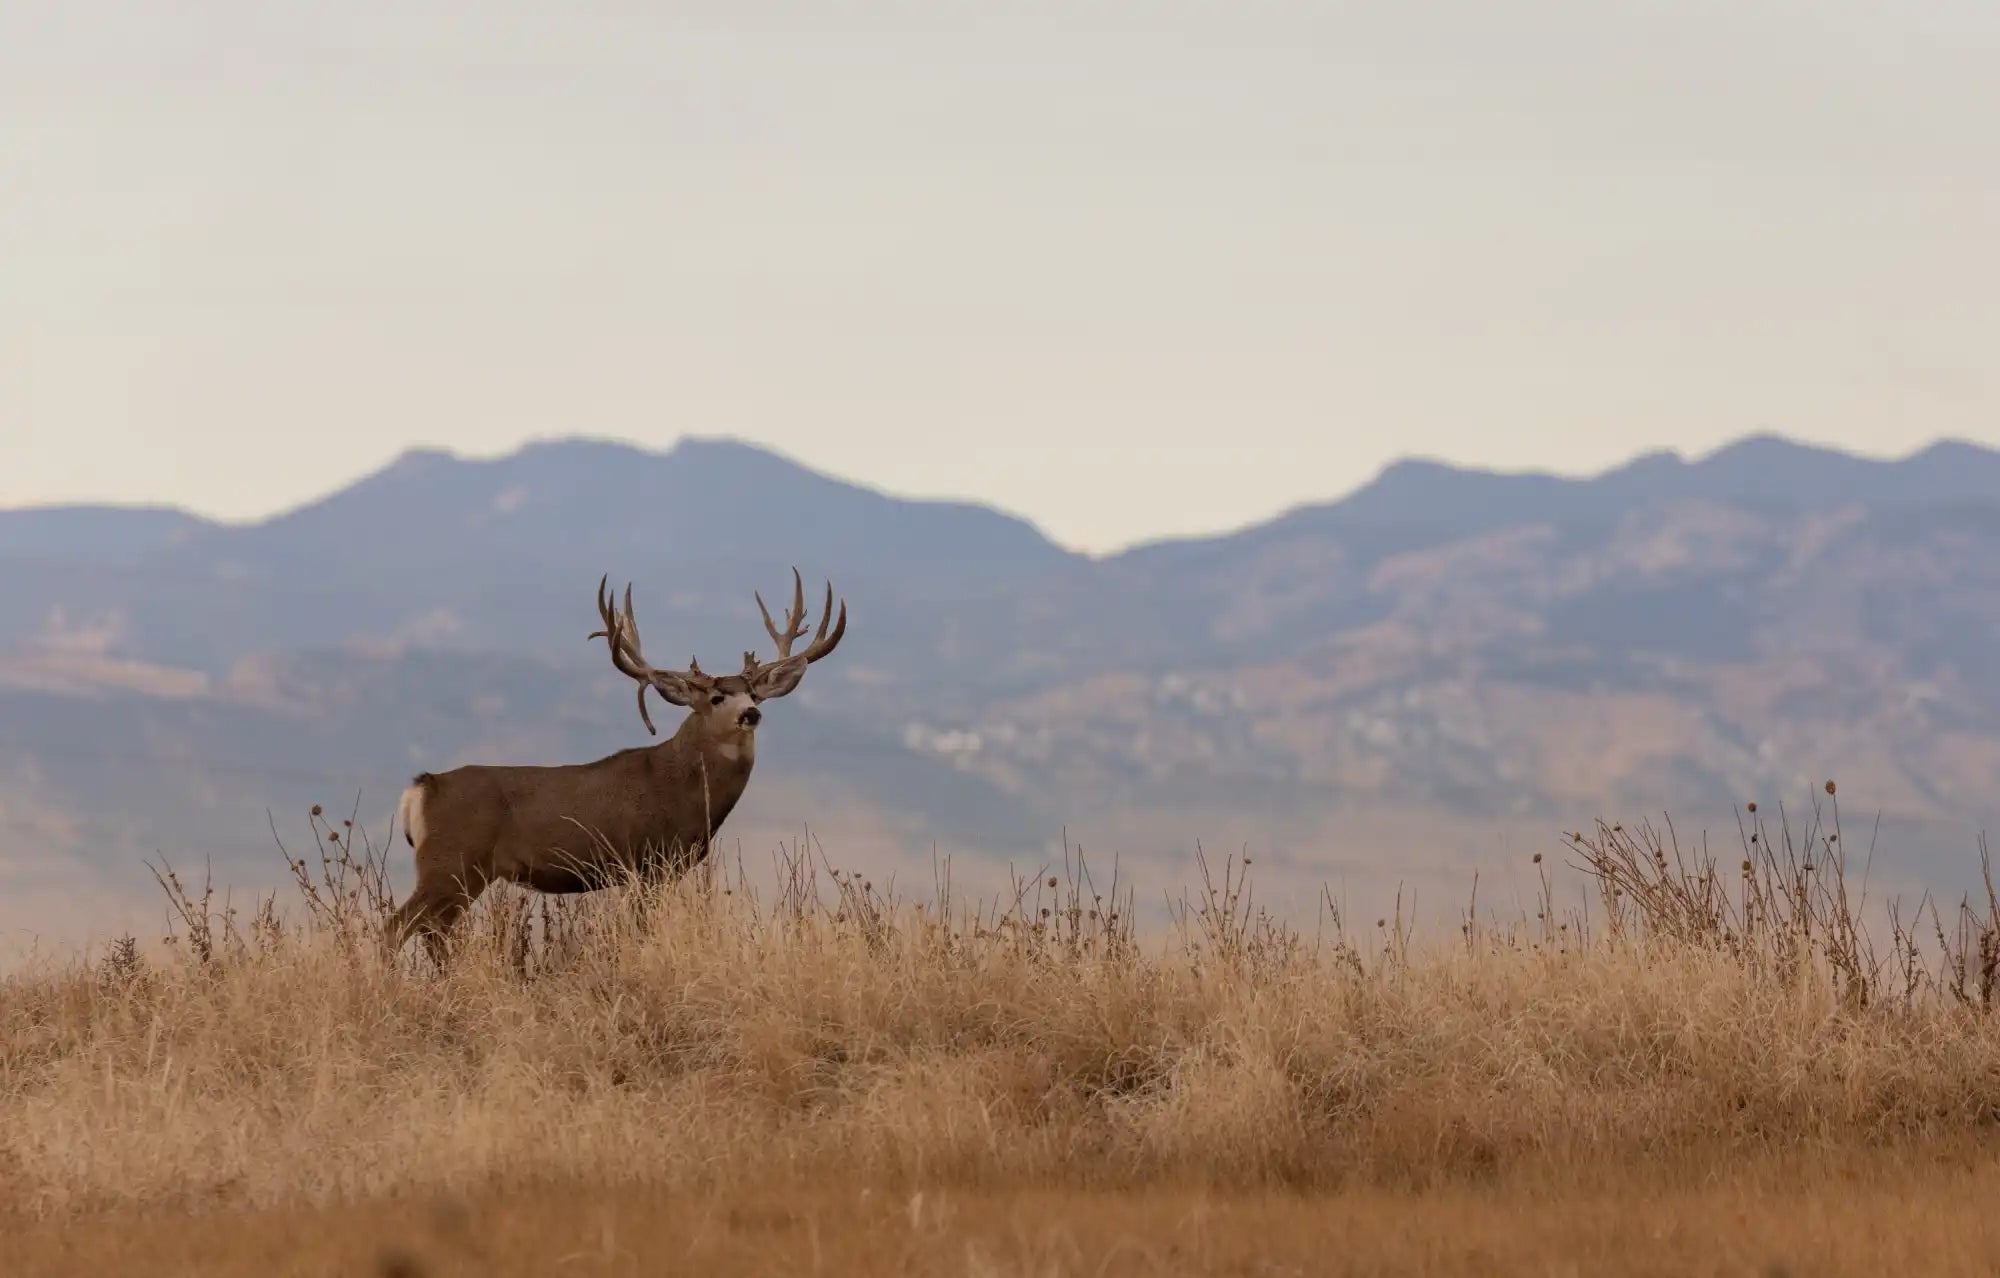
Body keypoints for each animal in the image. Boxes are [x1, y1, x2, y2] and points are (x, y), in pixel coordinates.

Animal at [383, 567, 847, 961]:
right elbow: (641, 932)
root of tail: (423, 787)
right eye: (717, 697)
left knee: (434, 930)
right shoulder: (647, 862)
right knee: (398, 926)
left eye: (753, 693)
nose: (751, 714)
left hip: (461, 873)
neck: (682, 792)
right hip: (450, 860)